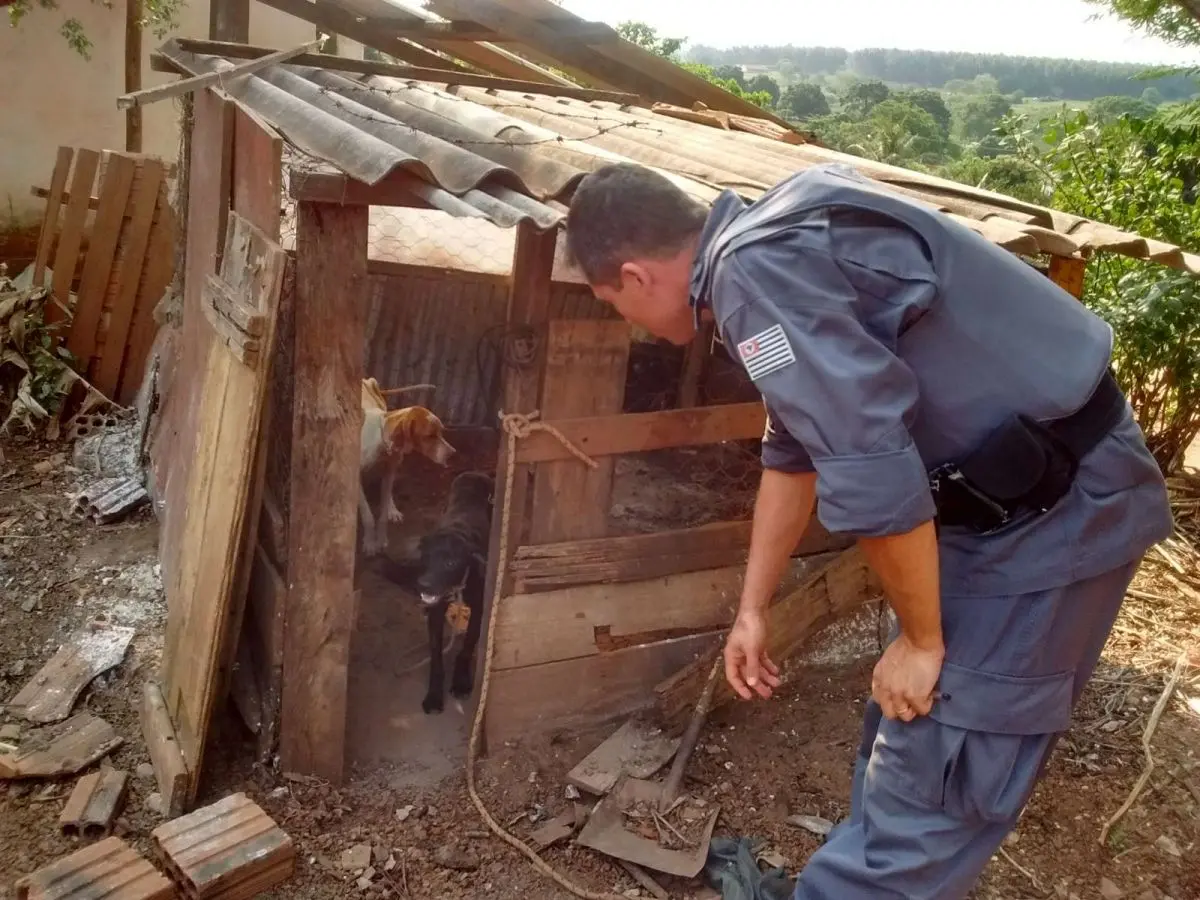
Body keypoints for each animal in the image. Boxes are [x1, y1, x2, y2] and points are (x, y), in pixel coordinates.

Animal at [360, 374, 453, 556]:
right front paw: (369, 543)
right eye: (430, 435)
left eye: (441, 432)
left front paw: (381, 540)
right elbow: (368, 516)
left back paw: (392, 510)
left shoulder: (389, 470)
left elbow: (382, 516)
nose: (452, 453)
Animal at [386, 472, 494, 720]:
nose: (423, 584)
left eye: (451, 563)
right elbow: (436, 657)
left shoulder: (478, 611)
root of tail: (474, 474)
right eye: (426, 556)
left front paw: (461, 682)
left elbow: (467, 646)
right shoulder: (436, 612)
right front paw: (434, 696)